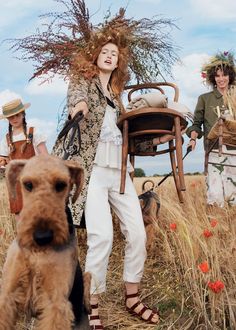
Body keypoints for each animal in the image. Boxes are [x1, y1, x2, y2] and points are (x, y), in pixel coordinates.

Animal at [0, 155, 90, 330]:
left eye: (61, 185)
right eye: (28, 184)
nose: (42, 237)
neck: (37, 254)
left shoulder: (55, 303)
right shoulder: (7, 293)